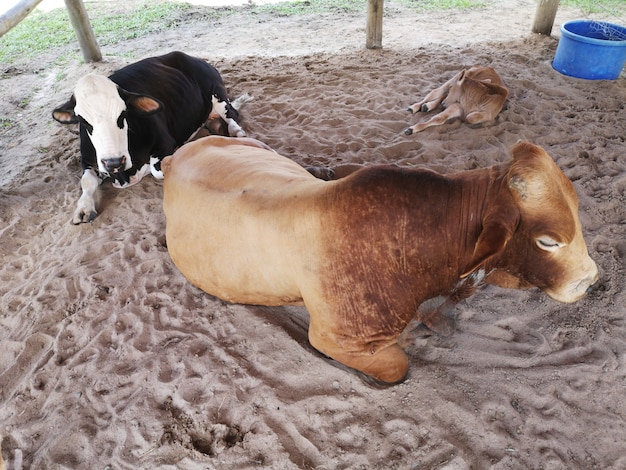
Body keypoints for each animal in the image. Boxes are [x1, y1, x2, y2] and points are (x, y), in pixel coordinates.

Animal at [52, 51, 246, 224]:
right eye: (83, 121)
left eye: (123, 114)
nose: (114, 162)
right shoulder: (87, 159)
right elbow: (87, 182)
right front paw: (83, 208)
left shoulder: (164, 144)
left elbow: (156, 170)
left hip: (216, 92)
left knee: (231, 113)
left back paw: (236, 131)